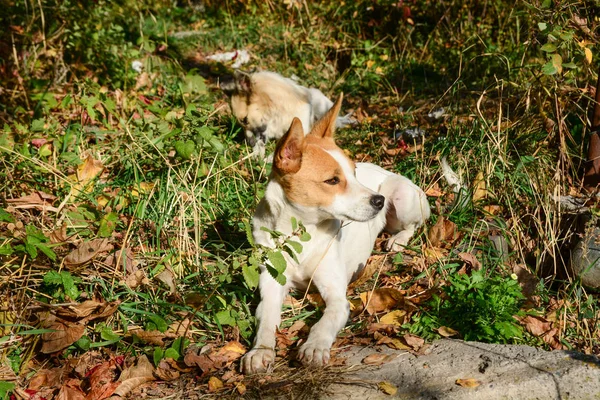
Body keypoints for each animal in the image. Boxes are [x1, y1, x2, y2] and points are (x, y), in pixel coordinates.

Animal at [241, 94, 428, 376]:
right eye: (332, 181)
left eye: (354, 173)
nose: (379, 201)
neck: (301, 235)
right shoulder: (271, 289)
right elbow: (266, 322)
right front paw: (260, 351)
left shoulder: (338, 298)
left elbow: (325, 321)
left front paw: (314, 346)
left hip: (403, 198)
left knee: (412, 226)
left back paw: (398, 240)